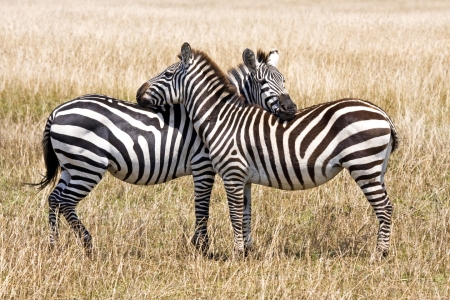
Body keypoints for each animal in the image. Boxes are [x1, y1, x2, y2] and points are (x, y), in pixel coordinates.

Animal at [33, 48, 298, 253]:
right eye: (263, 83)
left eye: (284, 81)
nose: (291, 108)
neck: (219, 114)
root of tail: (57, 111)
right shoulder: (203, 165)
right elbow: (202, 206)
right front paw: (202, 247)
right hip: (88, 165)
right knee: (66, 202)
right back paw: (88, 244)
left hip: (72, 166)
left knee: (54, 198)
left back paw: (54, 245)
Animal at [136, 42, 398, 260]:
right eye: (265, 82)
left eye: (167, 74)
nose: (139, 94)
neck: (221, 118)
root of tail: (383, 114)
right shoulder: (245, 179)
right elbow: (246, 214)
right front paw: (246, 252)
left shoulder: (231, 173)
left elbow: (234, 214)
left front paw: (236, 255)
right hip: (377, 169)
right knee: (387, 205)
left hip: (363, 165)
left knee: (384, 207)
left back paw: (379, 255)